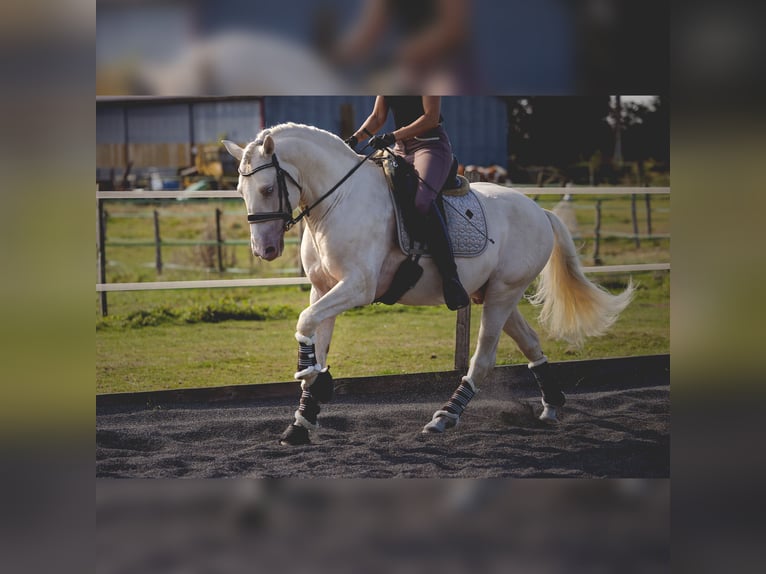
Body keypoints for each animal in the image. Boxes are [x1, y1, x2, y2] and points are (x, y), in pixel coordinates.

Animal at [224, 121, 636, 448]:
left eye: (266, 189)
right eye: (241, 192)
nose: (264, 250)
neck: (337, 201)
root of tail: (539, 210)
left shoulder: (357, 287)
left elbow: (305, 322)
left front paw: (313, 383)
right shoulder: (323, 289)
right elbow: (314, 335)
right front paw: (304, 414)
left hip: (503, 294)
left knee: (483, 360)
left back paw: (445, 416)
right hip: (497, 293)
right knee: (531, 342)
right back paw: (551, 406)